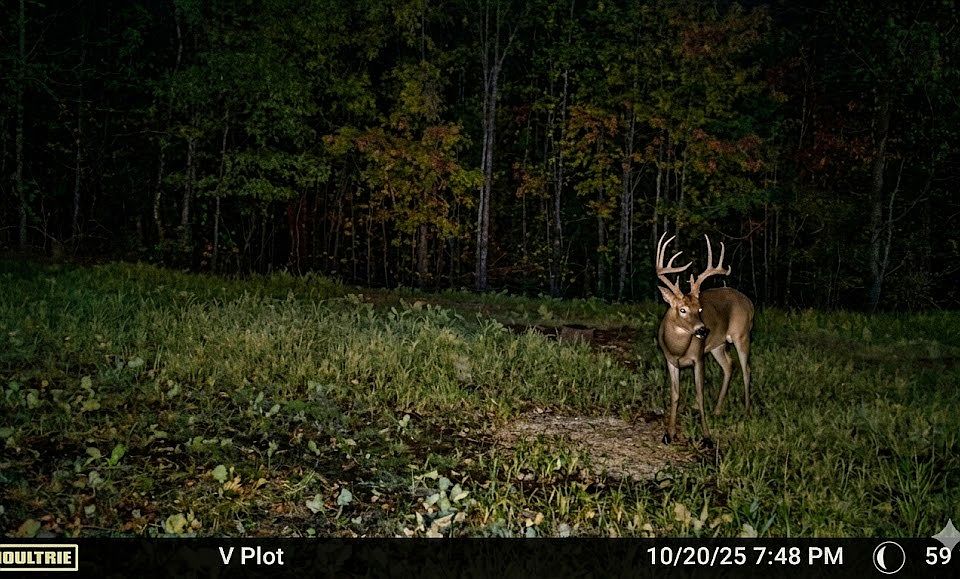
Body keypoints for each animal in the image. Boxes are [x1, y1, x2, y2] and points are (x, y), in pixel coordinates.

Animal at [655, 231, 754, 445]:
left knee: (746, 369)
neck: (679, 348)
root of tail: (749, 302)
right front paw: (669, 434)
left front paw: (706, 436)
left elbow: (699, 394)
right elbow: (675, 395)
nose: (702, 330)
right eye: (682, 310)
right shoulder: (670, 361)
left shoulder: (699, 357)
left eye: (699, 309)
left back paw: (747, 411)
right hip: (718, 344)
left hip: (742, 334)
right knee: (729, 365)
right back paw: (717, 410)